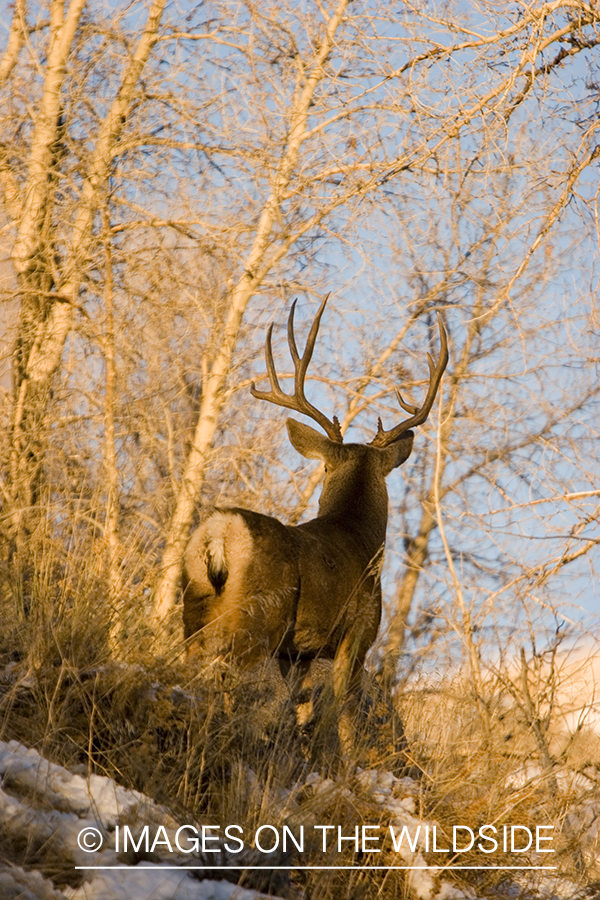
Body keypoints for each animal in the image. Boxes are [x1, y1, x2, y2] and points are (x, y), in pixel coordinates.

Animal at [182, 298, 446, 752]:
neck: (360, 539)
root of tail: (220, 533)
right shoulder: (357, 635)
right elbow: (342, 717)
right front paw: (344, 762)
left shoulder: (297, 653)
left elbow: (295, 709)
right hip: (255, 621)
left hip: (192, 611)